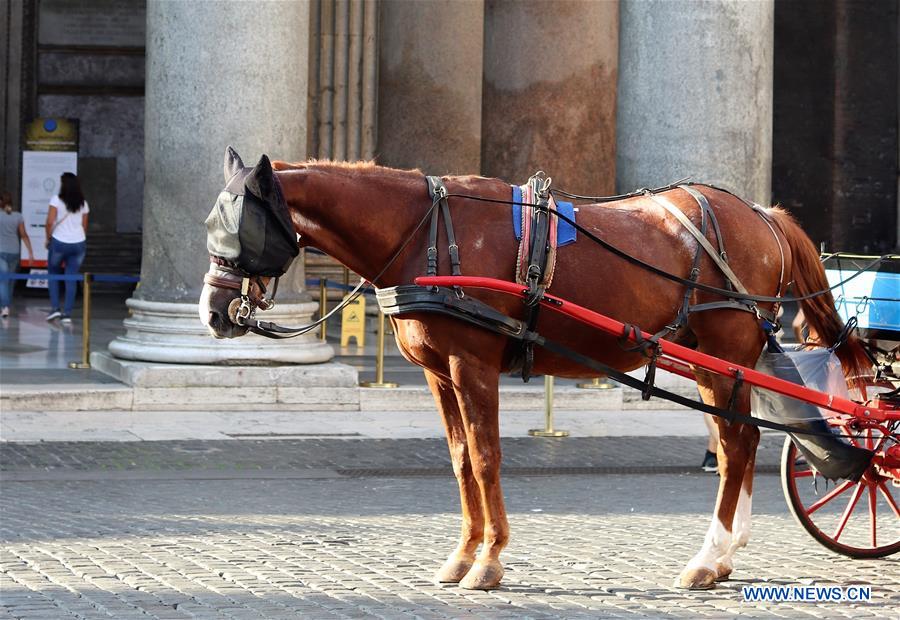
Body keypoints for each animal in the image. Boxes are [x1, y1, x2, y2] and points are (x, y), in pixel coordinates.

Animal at [200, 147, 869, 591]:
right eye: (213, 224)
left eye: (239, 228)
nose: (211, 310)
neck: (428, 234)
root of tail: (761, 213)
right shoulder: (439, 371)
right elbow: (460, 460)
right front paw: (464, 554)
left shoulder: (472, 364)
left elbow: (486, 457)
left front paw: (490, 559)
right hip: (717, 360)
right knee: (744, 443)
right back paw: (726, 554)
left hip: (725, 355)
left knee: (734, 448)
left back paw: (709, 555)